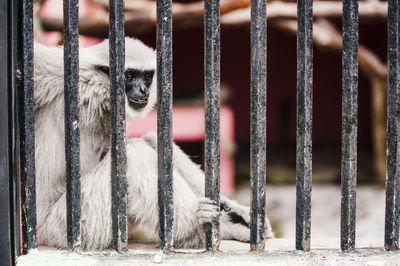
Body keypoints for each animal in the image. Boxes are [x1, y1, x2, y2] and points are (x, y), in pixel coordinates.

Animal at [32, 38, 274, 251]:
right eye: (130, 76)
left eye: (147, 77)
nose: (143, 90)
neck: (91, 92)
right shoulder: (59, 72)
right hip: (68, 224)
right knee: (135, 152)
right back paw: (196, 226)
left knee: (148, 139)